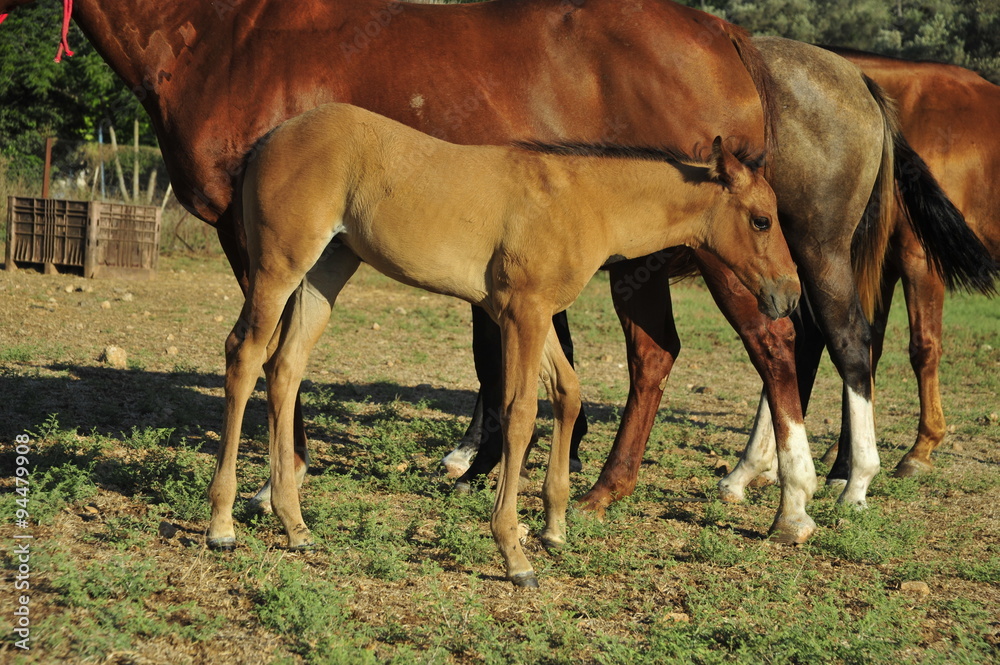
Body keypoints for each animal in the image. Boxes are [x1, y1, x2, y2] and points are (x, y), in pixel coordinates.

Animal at [0, 0, 780, 515]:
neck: (223, 38)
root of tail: (726, 34)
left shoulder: (252, 240)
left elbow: (267, 350)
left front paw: (279, 479)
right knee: (670, 354)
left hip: (711, 262)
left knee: (757, 346)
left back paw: (770, 496)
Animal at [212, 102, 799, 587]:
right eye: (761, 220)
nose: (788, 296)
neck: (583, 200)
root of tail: (271, 137)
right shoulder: (523, 314)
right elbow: (520, 414)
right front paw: (515, 553)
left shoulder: (531, 315)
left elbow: (568, 393)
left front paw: (555, 526)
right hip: (280, 267)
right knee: (245, 354)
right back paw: (221, 523)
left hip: (327, 270)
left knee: (285, 368)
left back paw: (295, 527)